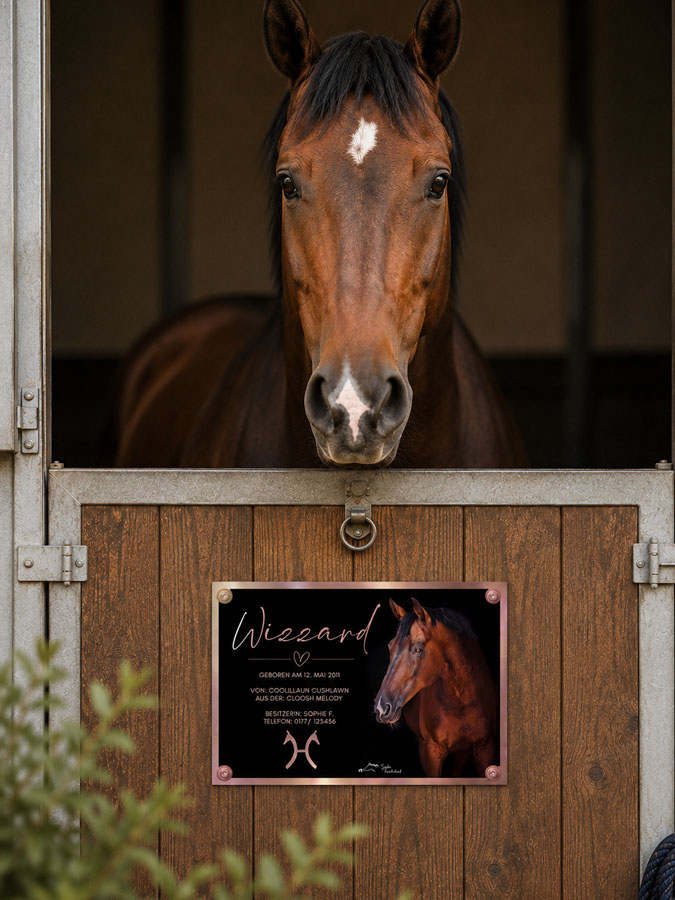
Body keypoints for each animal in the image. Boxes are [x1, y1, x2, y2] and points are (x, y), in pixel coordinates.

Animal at [374, 598, 497, 778]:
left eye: (418, 649)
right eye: (390, 646)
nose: (381, 708)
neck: (462, 702)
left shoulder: (485, 749)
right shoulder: (430, 753)